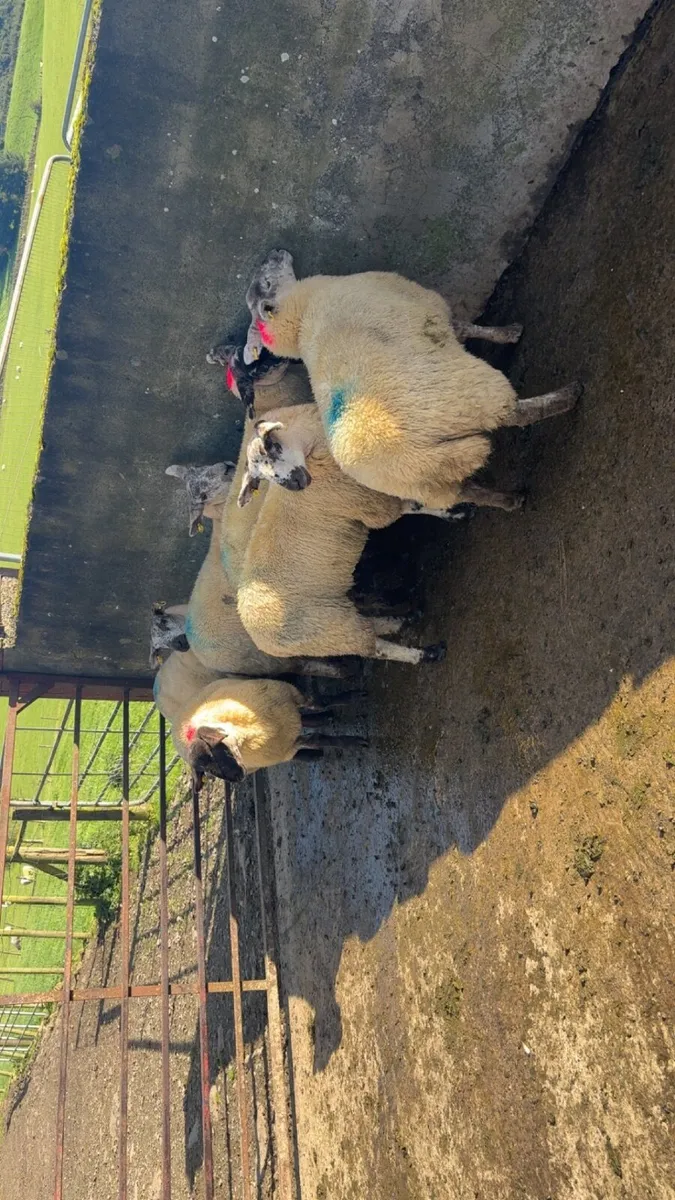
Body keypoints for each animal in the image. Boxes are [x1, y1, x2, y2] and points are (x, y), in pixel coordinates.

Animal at [173, 677, 367, 786]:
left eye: (213, 750)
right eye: (208, 772)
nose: (238, 778)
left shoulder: (292, 693)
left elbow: (321, 702)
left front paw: (352, 697)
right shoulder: (289, 746)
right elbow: (319, 739)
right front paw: (353, 743)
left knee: (302, 717)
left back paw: (323, 719)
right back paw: (312, 754)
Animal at [237, 403, 450, 666]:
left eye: (272, 446)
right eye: (260, 477)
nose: (294, 484)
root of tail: (258, 639)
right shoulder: (368, 504)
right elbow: (413, 505)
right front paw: (453, 511)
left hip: (335, 611)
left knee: (370, 624)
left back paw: (404, 619)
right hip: (328, 630)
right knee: (375, 647)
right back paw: (425, 653)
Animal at [244, 251, 581, 509]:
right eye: (268, 282)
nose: (275, 252)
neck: (303, 314)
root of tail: (414, 457)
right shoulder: (429, 309)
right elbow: (467, 327)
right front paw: (509, 333)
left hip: (427, 484)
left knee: (470, 492)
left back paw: (509, 500)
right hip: (464, 396)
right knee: (518, 413)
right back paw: (568, 396)